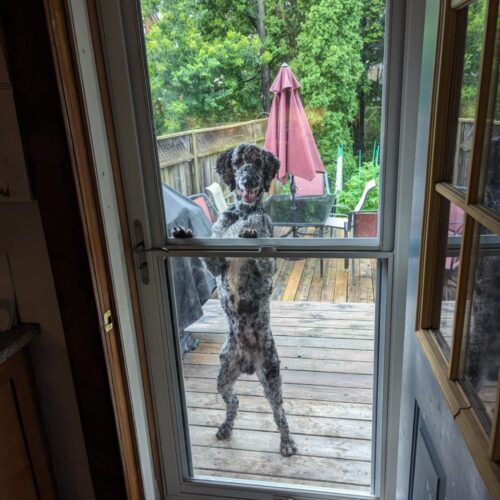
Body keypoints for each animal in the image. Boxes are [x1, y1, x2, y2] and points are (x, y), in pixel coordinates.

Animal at [174, 143, 296, 456]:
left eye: (258, 162)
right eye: (238, 162)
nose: (249, 180)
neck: (242, 214)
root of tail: (248, 363)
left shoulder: (267, 268)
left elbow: (263, 256)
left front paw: (251, 233)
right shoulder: (219, 263)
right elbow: (211, 255)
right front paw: (185, 234)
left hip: (271, 378)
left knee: (279, 413)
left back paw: (287, 442)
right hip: (223, 377)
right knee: (235, 402)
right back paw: (226, 428)